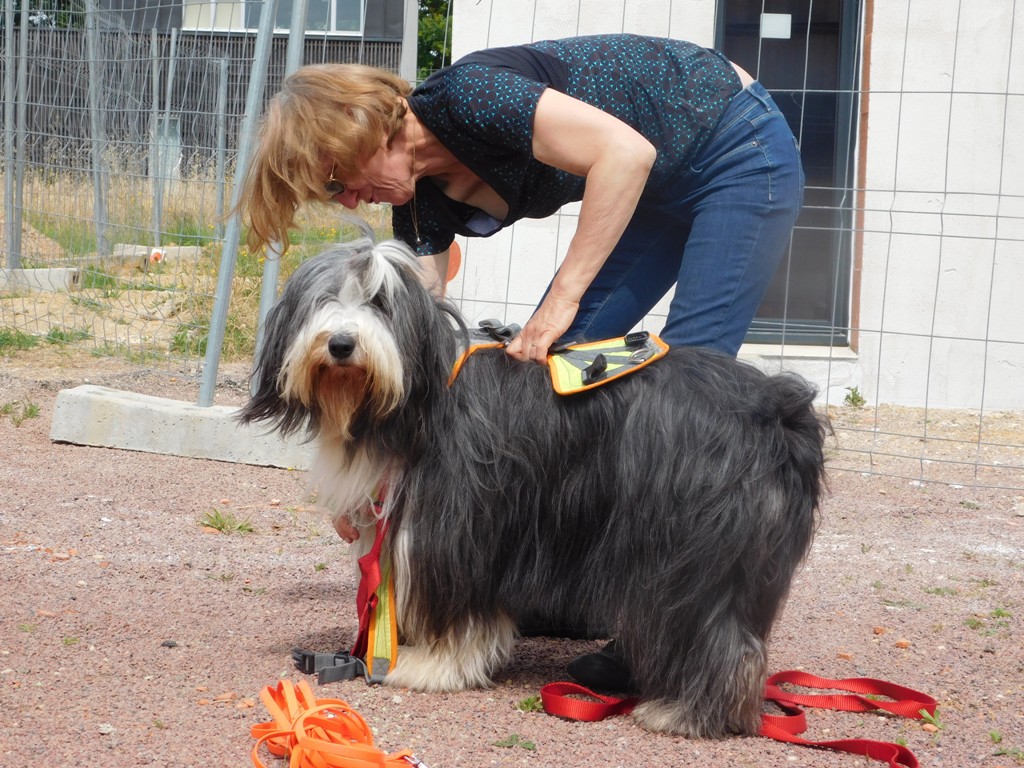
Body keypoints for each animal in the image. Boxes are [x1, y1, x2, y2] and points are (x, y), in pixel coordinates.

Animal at [241, 230, 831, 741]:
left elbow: (452, 603)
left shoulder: (456, 522)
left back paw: (681, 713)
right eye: (323, 300)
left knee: (713, 635)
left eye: (382, 303)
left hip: (690, 554)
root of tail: (779, 409)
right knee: (743, 641)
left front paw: (429, 665)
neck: (417, 394)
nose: (342, 344)